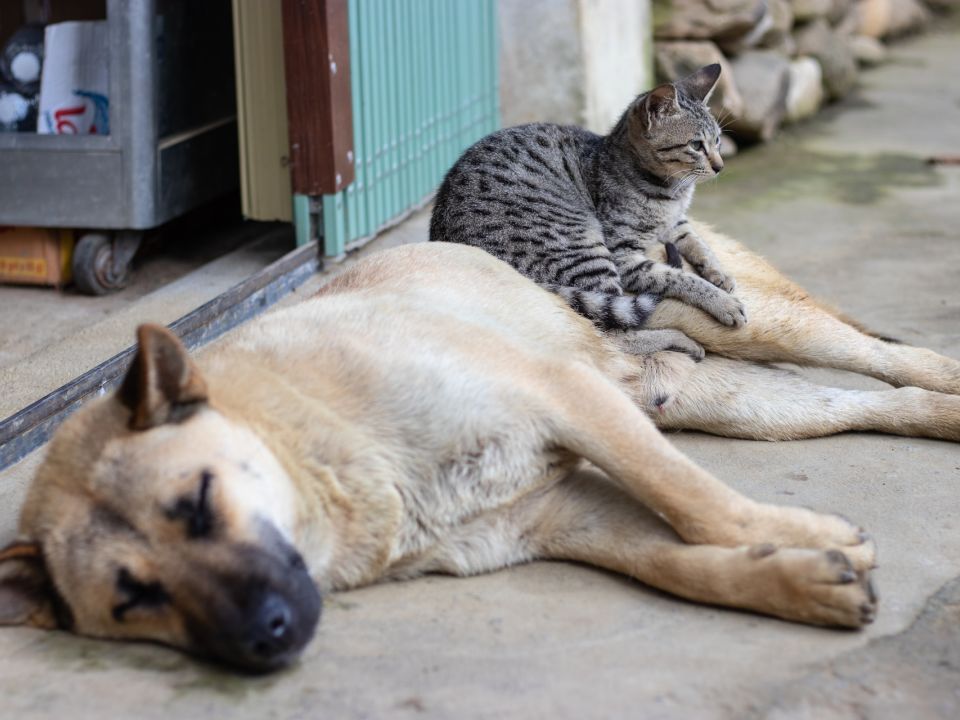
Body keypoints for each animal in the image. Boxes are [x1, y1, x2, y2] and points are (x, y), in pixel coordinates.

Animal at [0, 229, 956, 668]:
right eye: (133, 599)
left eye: (197, 504)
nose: (267, 638)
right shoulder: (564, 515)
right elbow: (678, 561)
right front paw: (800, 576)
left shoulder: (566, 399)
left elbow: (693, 501)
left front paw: (806, 539)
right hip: (742, 406)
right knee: (872, 403)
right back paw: (938, 417)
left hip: (753, 327)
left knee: (885, 358)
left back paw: (945, 376)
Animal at [432, 63, 748, 350]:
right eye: (696, 145)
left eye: (718, 140)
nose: (720, 166)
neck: (672, 193)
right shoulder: (624, 255)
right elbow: (679, 277)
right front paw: (722, 301)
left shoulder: (677, 223)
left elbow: (699, 243)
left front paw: (719, 274)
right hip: (584, 246)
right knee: (613, 335)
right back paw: (681, 341)